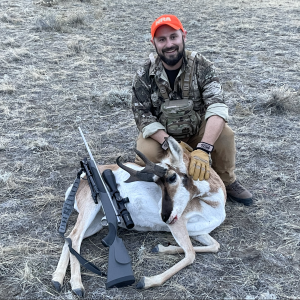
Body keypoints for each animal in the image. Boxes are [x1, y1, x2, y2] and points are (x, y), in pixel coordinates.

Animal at [52, 137, 225, 296]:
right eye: (160, 183)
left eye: (171, 178)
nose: (164, 217)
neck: (213, 205)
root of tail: (81, 179)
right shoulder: (178, 225)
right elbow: (190, 254)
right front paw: (146, 281)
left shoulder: (196, 231)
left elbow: (215, 245)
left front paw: (160, 248)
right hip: (90, 210)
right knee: (75, 237)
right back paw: (77, 286)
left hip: (97, 223)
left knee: (70, 237)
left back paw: (57, 280)